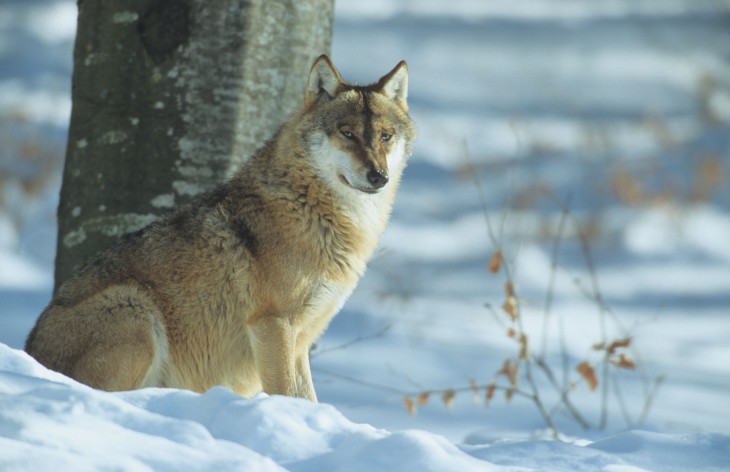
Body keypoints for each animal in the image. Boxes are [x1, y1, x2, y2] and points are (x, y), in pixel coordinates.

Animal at [25, 56, 416, 402]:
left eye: (385, 137)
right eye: (347, 134)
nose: (378, 176)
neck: (310, 207)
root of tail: (30, 349)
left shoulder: (301, 340)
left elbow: (308, 400)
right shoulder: (273, 325)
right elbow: (287, 394)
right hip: (134, 308)